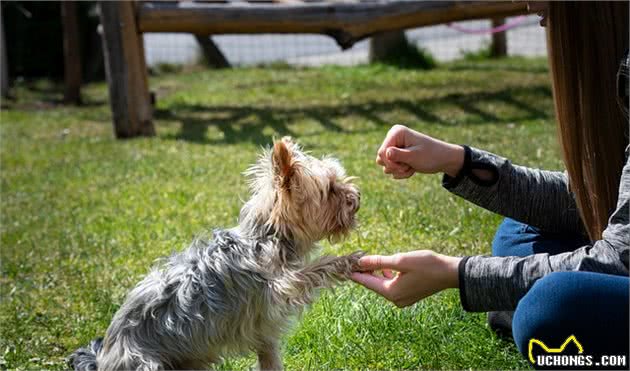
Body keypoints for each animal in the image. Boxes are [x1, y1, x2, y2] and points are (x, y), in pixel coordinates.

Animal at [68, 138, 366, 370]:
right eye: (331, 189)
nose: (358, 197)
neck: (268, 236)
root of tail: (103, 358)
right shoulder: (279, 286)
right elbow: (314, 269)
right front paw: (348, 260)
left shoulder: (264, 329)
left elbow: (269, 356)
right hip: (146, 363)